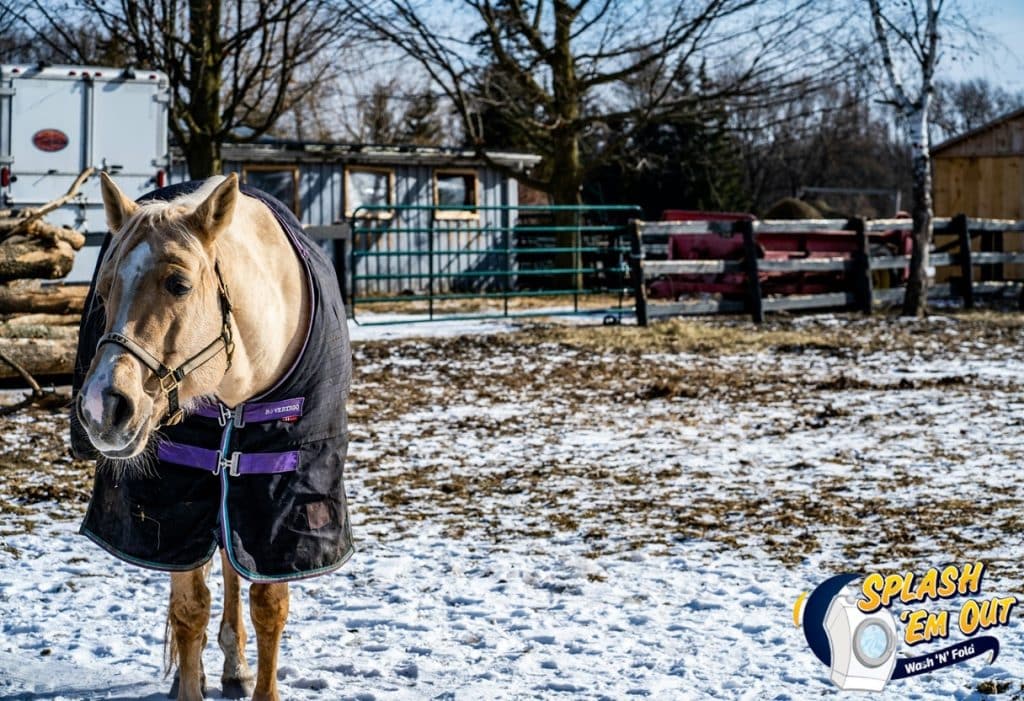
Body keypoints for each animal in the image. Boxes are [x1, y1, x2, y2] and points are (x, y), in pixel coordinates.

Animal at [72, 170, 352, 699]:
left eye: (179, 284)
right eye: (104, 289)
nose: (102, 405)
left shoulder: (279, 494)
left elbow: (267, 605)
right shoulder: (178, 487)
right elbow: (189, 608)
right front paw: (189, 682)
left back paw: (234, 666)